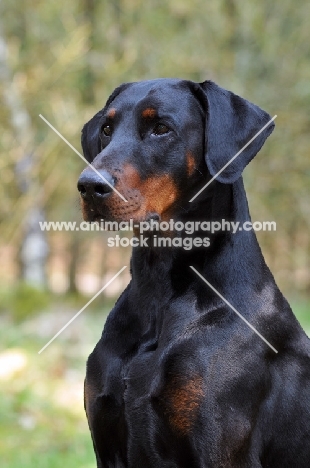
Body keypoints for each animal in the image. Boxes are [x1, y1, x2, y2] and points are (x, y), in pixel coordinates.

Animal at [77, 78, 310, 466]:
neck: (158, 291)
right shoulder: (106, 442)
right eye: (107, 129)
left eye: (161, 128)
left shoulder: (219, 448)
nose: (88, 186)